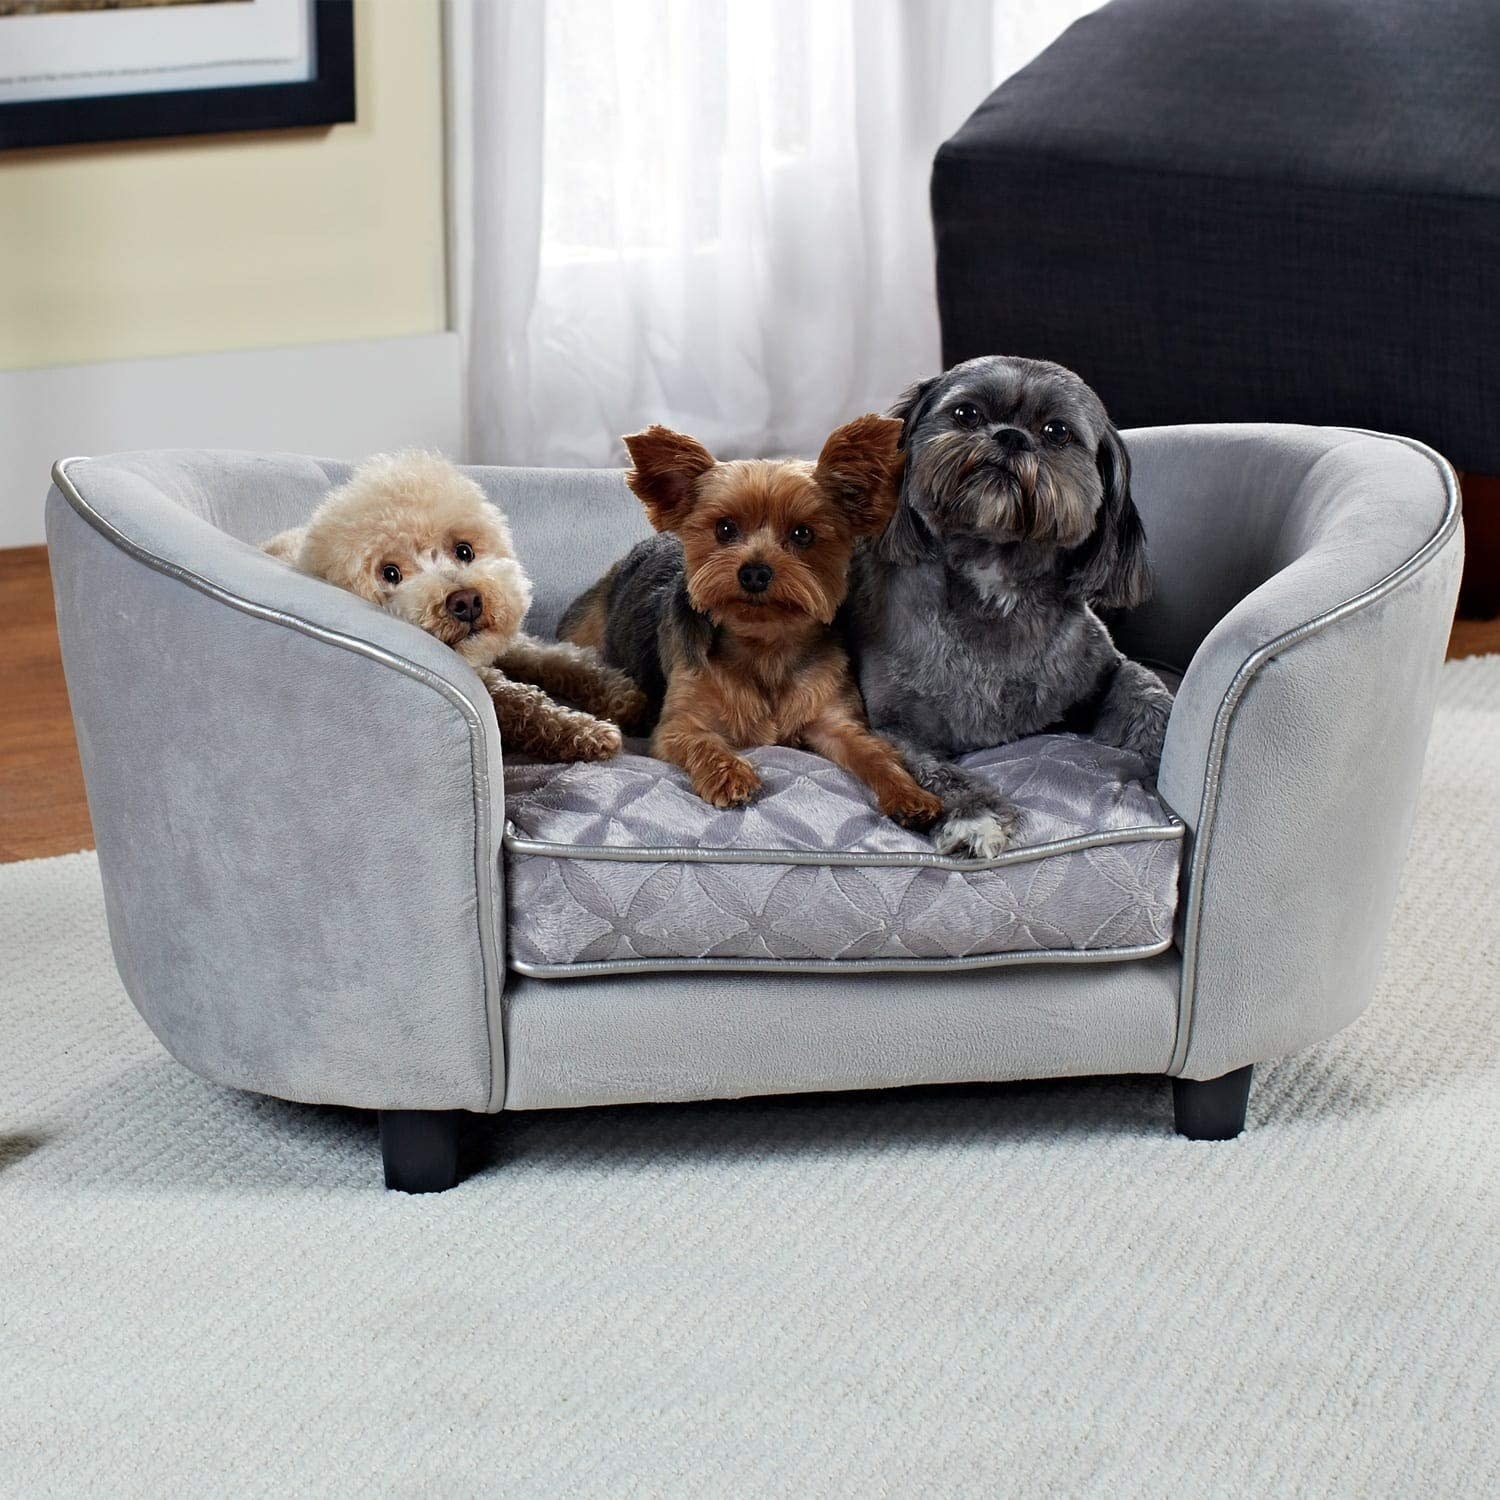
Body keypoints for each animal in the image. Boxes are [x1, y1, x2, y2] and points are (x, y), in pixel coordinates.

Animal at [846, 352, 1170, 864]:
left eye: (1057, 431)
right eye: (966, 414)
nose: (1010, 436)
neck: (995, 586)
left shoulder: (1103, 672)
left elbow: (1150, 695)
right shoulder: (893, 726)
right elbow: (930, 769)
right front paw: (976, 817)